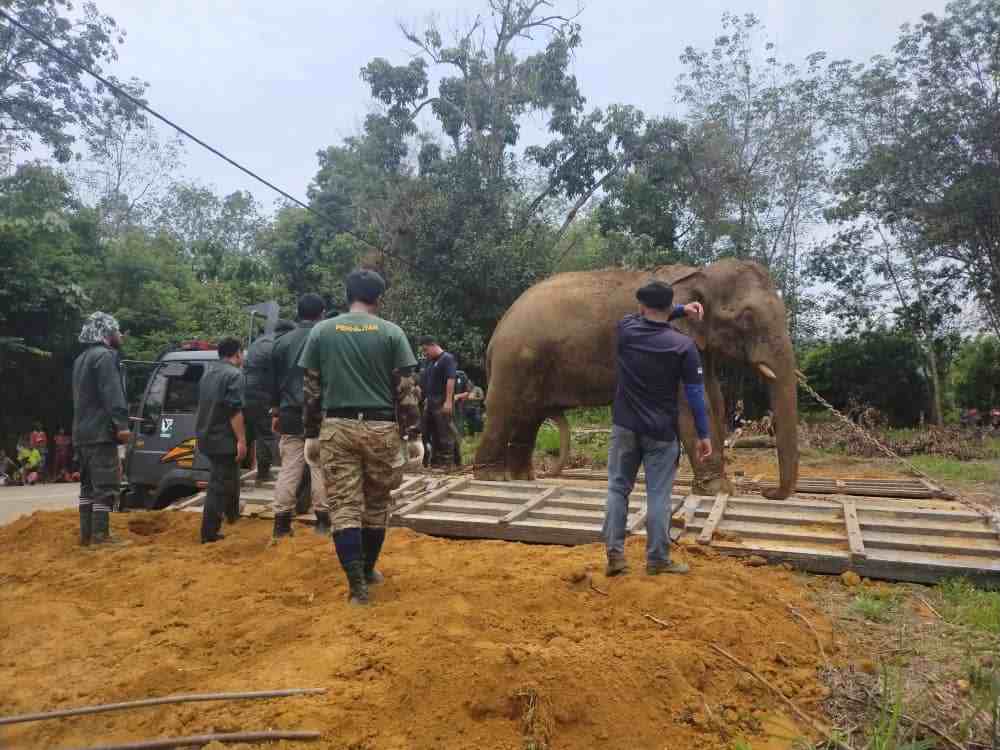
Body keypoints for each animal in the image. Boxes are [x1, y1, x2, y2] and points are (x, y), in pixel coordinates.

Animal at [472, 258, 800, 500]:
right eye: (747, 317)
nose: (768, 492)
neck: (699, 272)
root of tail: (498, 330)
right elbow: (693, 404)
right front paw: (720, 491)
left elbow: (712, 398)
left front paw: (721, 489)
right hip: (514, 360)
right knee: (505, 410)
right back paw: (492, 476)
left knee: (529, 416)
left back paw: (523, 479)